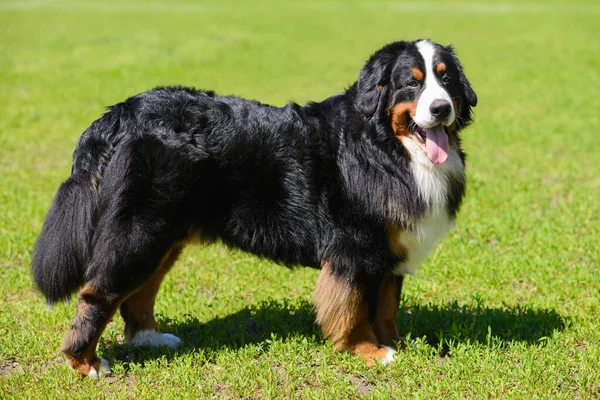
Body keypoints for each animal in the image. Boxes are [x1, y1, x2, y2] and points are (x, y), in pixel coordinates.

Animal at [32, 38, 478, 376]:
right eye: (411, 85)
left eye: (446, 79)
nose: (441, 108)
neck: (386, 148)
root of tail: (121, 113)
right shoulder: (355, 248)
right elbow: (354, 309)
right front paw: (369, 350)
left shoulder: (391, 246)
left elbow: (386, 304)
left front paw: (397, 342)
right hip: (139, 231)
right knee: (99, 292)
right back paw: (85, 363)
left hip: (163, 232)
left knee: (140, 292)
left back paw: (149, 338)